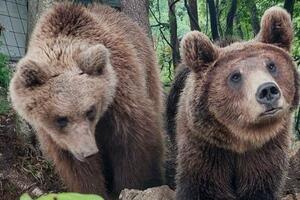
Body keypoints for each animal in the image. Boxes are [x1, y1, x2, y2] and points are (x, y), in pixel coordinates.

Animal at [9, 2, 164, 199]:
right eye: (61, 119)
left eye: (90, 110)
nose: (88, 152)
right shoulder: (59, 139)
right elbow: (78, 170)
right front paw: (93, 190)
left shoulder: (121, 95)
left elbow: (133, 144)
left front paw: (131, 186)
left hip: (148, 70)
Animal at [168, 6, 298, 200]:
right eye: (235, 76)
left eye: (271, 65)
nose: (267, 90)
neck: (240, 140)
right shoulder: (204, 145)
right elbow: (202, 186)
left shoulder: (267, 148)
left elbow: (260, 183)